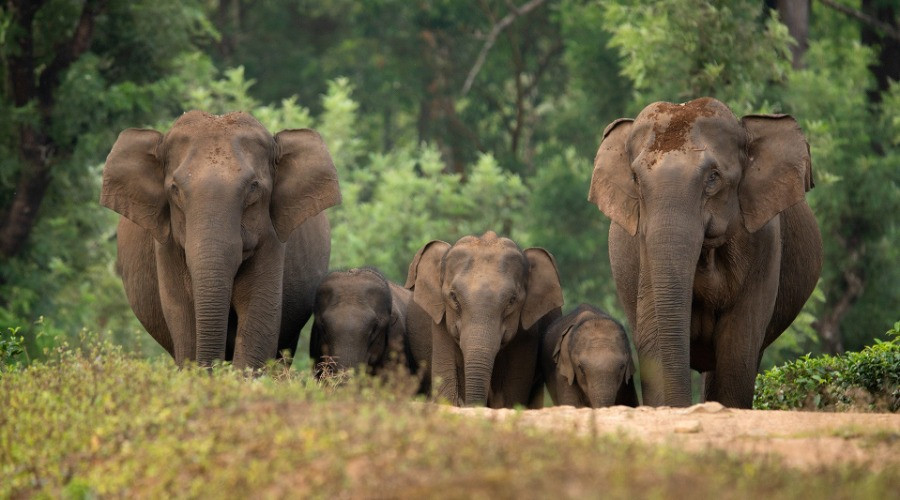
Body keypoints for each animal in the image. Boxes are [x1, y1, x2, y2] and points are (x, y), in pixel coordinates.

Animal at [100, 110, 342, 368]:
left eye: (253, 187)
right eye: (175, 189)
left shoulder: (272, 238)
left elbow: (258, 317)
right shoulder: (165, 245)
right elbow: (182, 319)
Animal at [406, 230, 564, 406]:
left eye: (512, 301)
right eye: (454, 297)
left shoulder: (528, 333)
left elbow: (513, 390)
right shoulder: (441, 322)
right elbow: (446, 378)